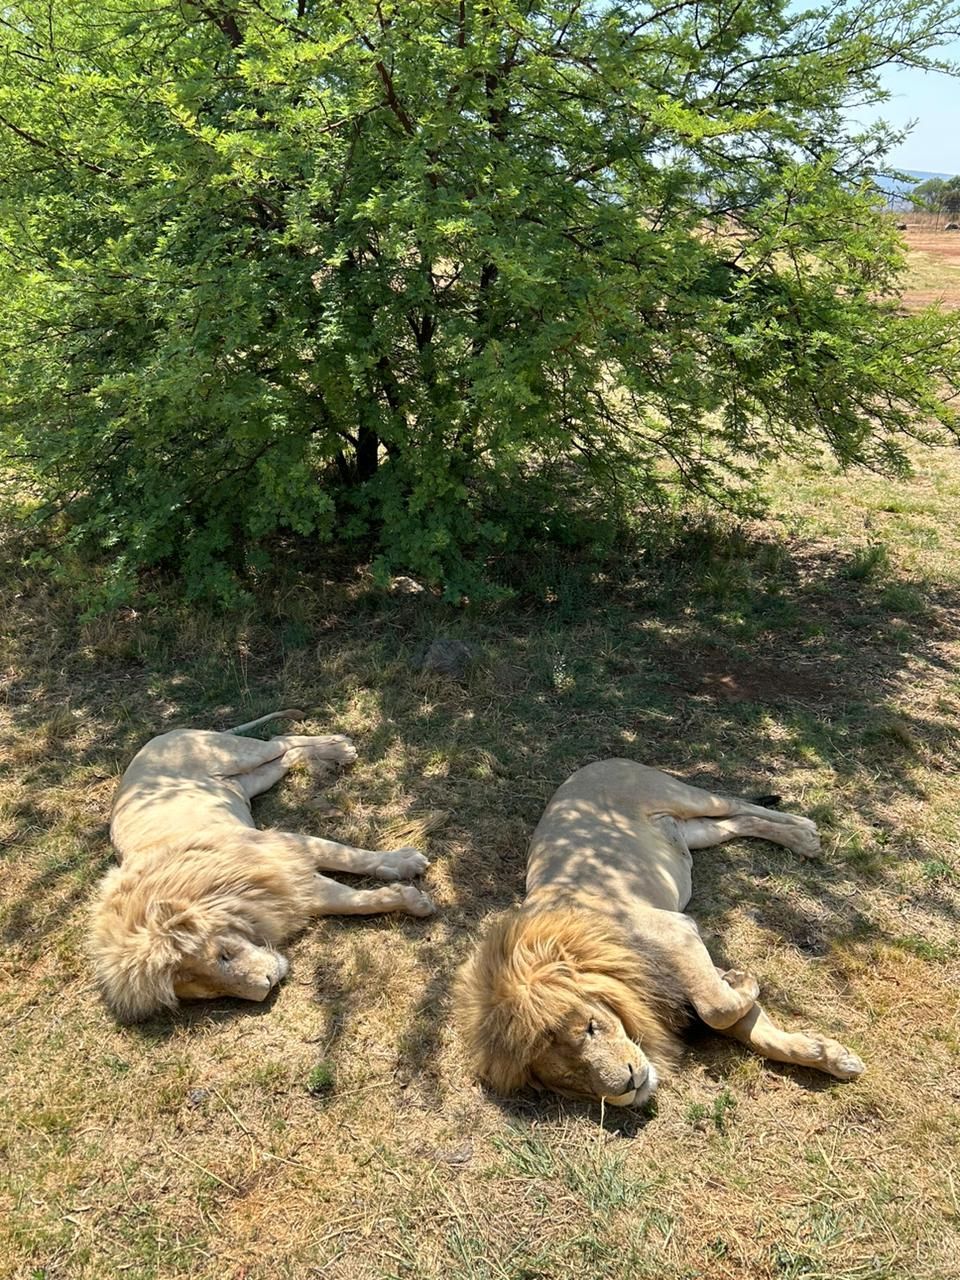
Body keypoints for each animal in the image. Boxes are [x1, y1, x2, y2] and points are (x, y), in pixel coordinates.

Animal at [91, 710, 434, 1021]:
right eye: (211, 991)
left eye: (224, 956)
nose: (266, 987)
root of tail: (153, 741)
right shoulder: (286, 888)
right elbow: (353, 902)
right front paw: (407, 896)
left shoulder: (280, 850)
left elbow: (349, 858)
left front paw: (405, 865)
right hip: (248, 782)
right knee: (285, 754)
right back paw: (333, 751)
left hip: (235, 756)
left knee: (279, 740)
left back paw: (339, 747)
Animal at [456, 760, 864, 1106]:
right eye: (568, 1075)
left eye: (590, 1027)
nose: (628, 1084)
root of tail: (588, 766)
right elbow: (749, 1027)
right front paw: (831, 1056)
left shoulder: (678, 932)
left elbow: (719, 1008)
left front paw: (744, 981)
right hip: (693, 833)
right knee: (737, 822)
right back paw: (798, 837)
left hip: (681, 795)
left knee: (737, 802)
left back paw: (804, 831)